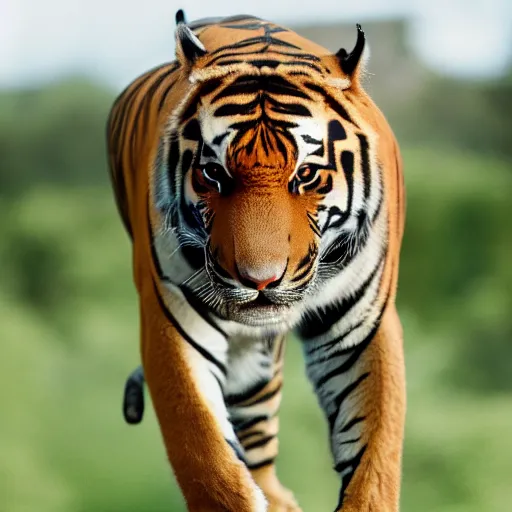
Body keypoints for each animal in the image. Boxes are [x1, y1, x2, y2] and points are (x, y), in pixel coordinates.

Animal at [106, 9, 406, 512]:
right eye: (213, 173)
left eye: (307, 174)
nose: (260, 280)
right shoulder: (174, 317)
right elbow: (206, 454)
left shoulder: (362, 324)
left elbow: (376, 453)